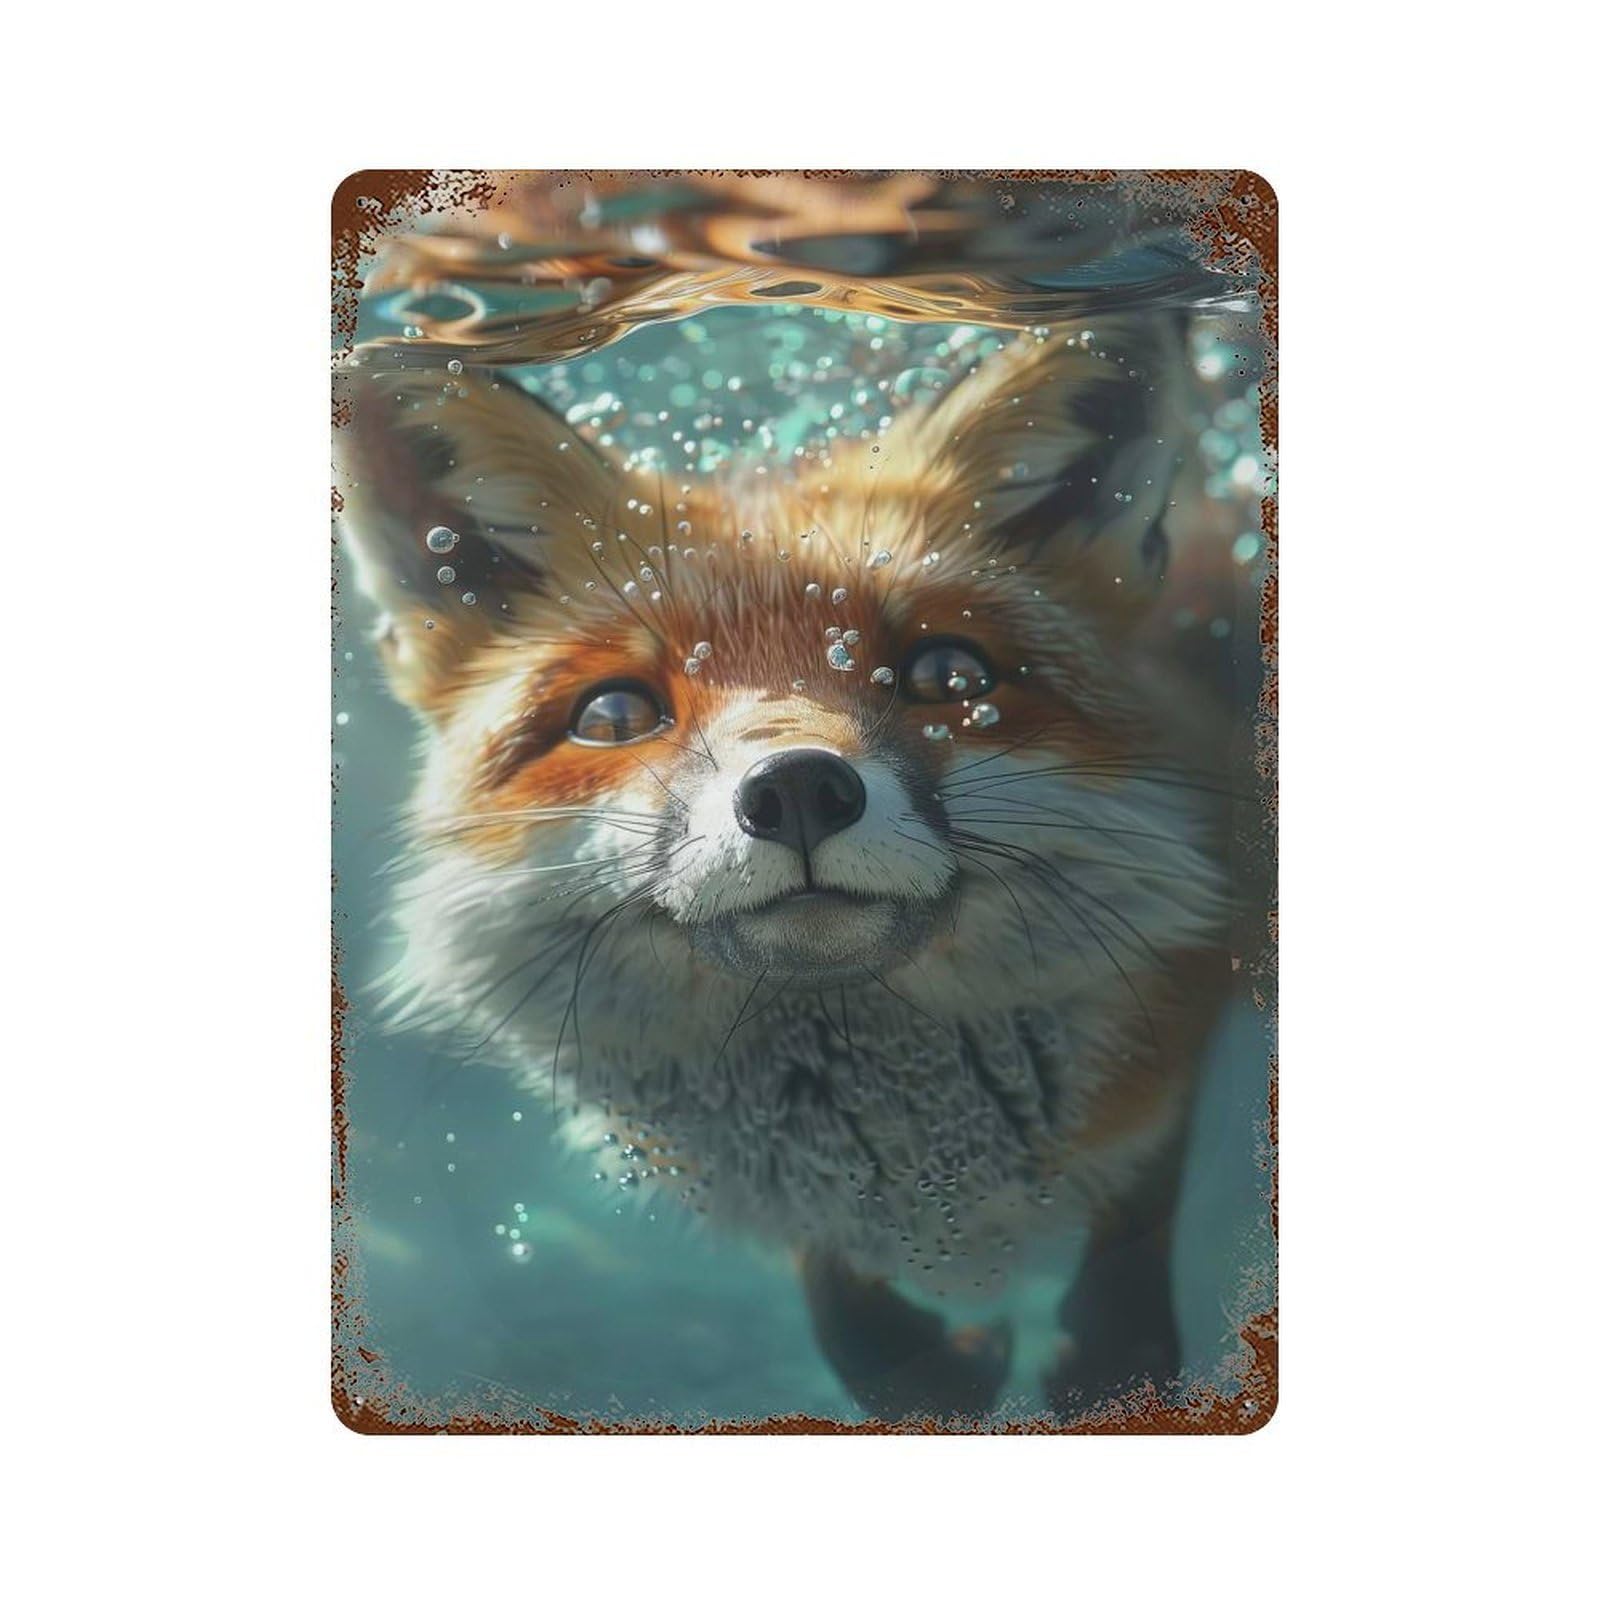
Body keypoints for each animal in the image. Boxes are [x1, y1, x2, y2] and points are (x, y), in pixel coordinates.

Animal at [333, 315, 1239, 1422]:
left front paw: (1113, 1358)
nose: (800, 788)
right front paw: (920, 1367)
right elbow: (837, 1292)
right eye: (615, 714)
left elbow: (1136, 1211)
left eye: (949, 675)